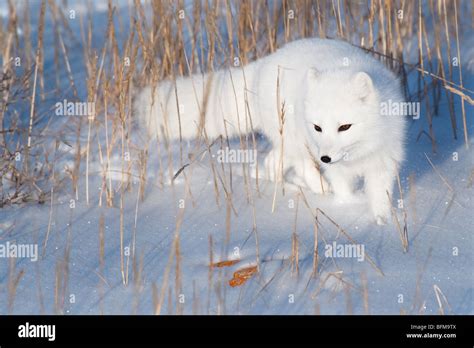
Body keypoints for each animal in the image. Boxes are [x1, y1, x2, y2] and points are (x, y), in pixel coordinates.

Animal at [135, 37, 406, 223]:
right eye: (318, 127)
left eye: (345, 127)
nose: (325, 158)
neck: (358, 153)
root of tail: (263, 64)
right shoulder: (332, 164)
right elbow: (343, 189)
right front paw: (346, 207)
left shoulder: (383, 161)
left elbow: (380, 194)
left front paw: (381, 221)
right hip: (295, 139)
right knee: (300, 165)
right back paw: (316, 188)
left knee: (273, 162)